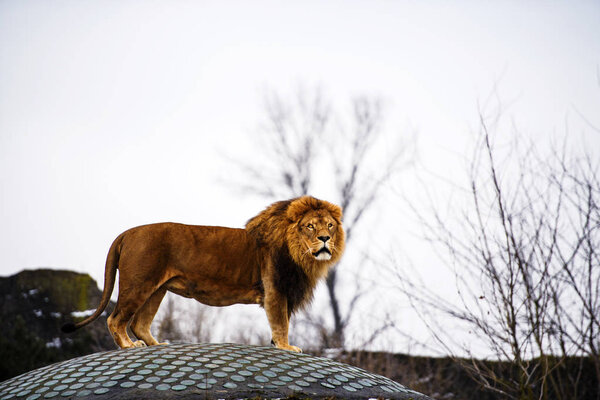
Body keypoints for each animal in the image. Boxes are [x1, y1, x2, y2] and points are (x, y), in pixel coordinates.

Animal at [62, 195, 344, 352]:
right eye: (310, 226)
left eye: (330, 225)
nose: (325, 238)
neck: (301, 256)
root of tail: (127, 233)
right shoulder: (275, 289)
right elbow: (281, 322)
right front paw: (287, 347)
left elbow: (280, 323)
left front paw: (277, 345)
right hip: (139, 284)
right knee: (116, 319)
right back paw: (128, 346)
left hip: (157, 289)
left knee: (139, 323)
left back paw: (156, 345)